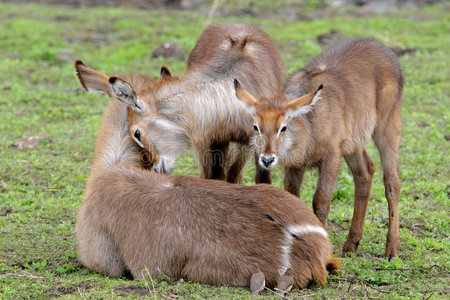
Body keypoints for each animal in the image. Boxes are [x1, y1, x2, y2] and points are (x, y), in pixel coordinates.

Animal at [73, 22, 284, 183]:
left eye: (137, 133)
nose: (156, 167)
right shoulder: (211, 140)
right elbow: (215, 176)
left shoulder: (258, 144)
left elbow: (258, 178)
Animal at [236, 37, 404, 258]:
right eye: (256, 126)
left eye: (283, 127)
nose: (267, 159)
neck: (309, 126)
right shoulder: (295, 166)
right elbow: (293, 198)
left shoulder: (332, 155)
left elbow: (321, 201)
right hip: (354, 144)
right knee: (365, 173)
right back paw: (351, 245)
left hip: (387, 129)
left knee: (392, 181)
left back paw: (391, 250)